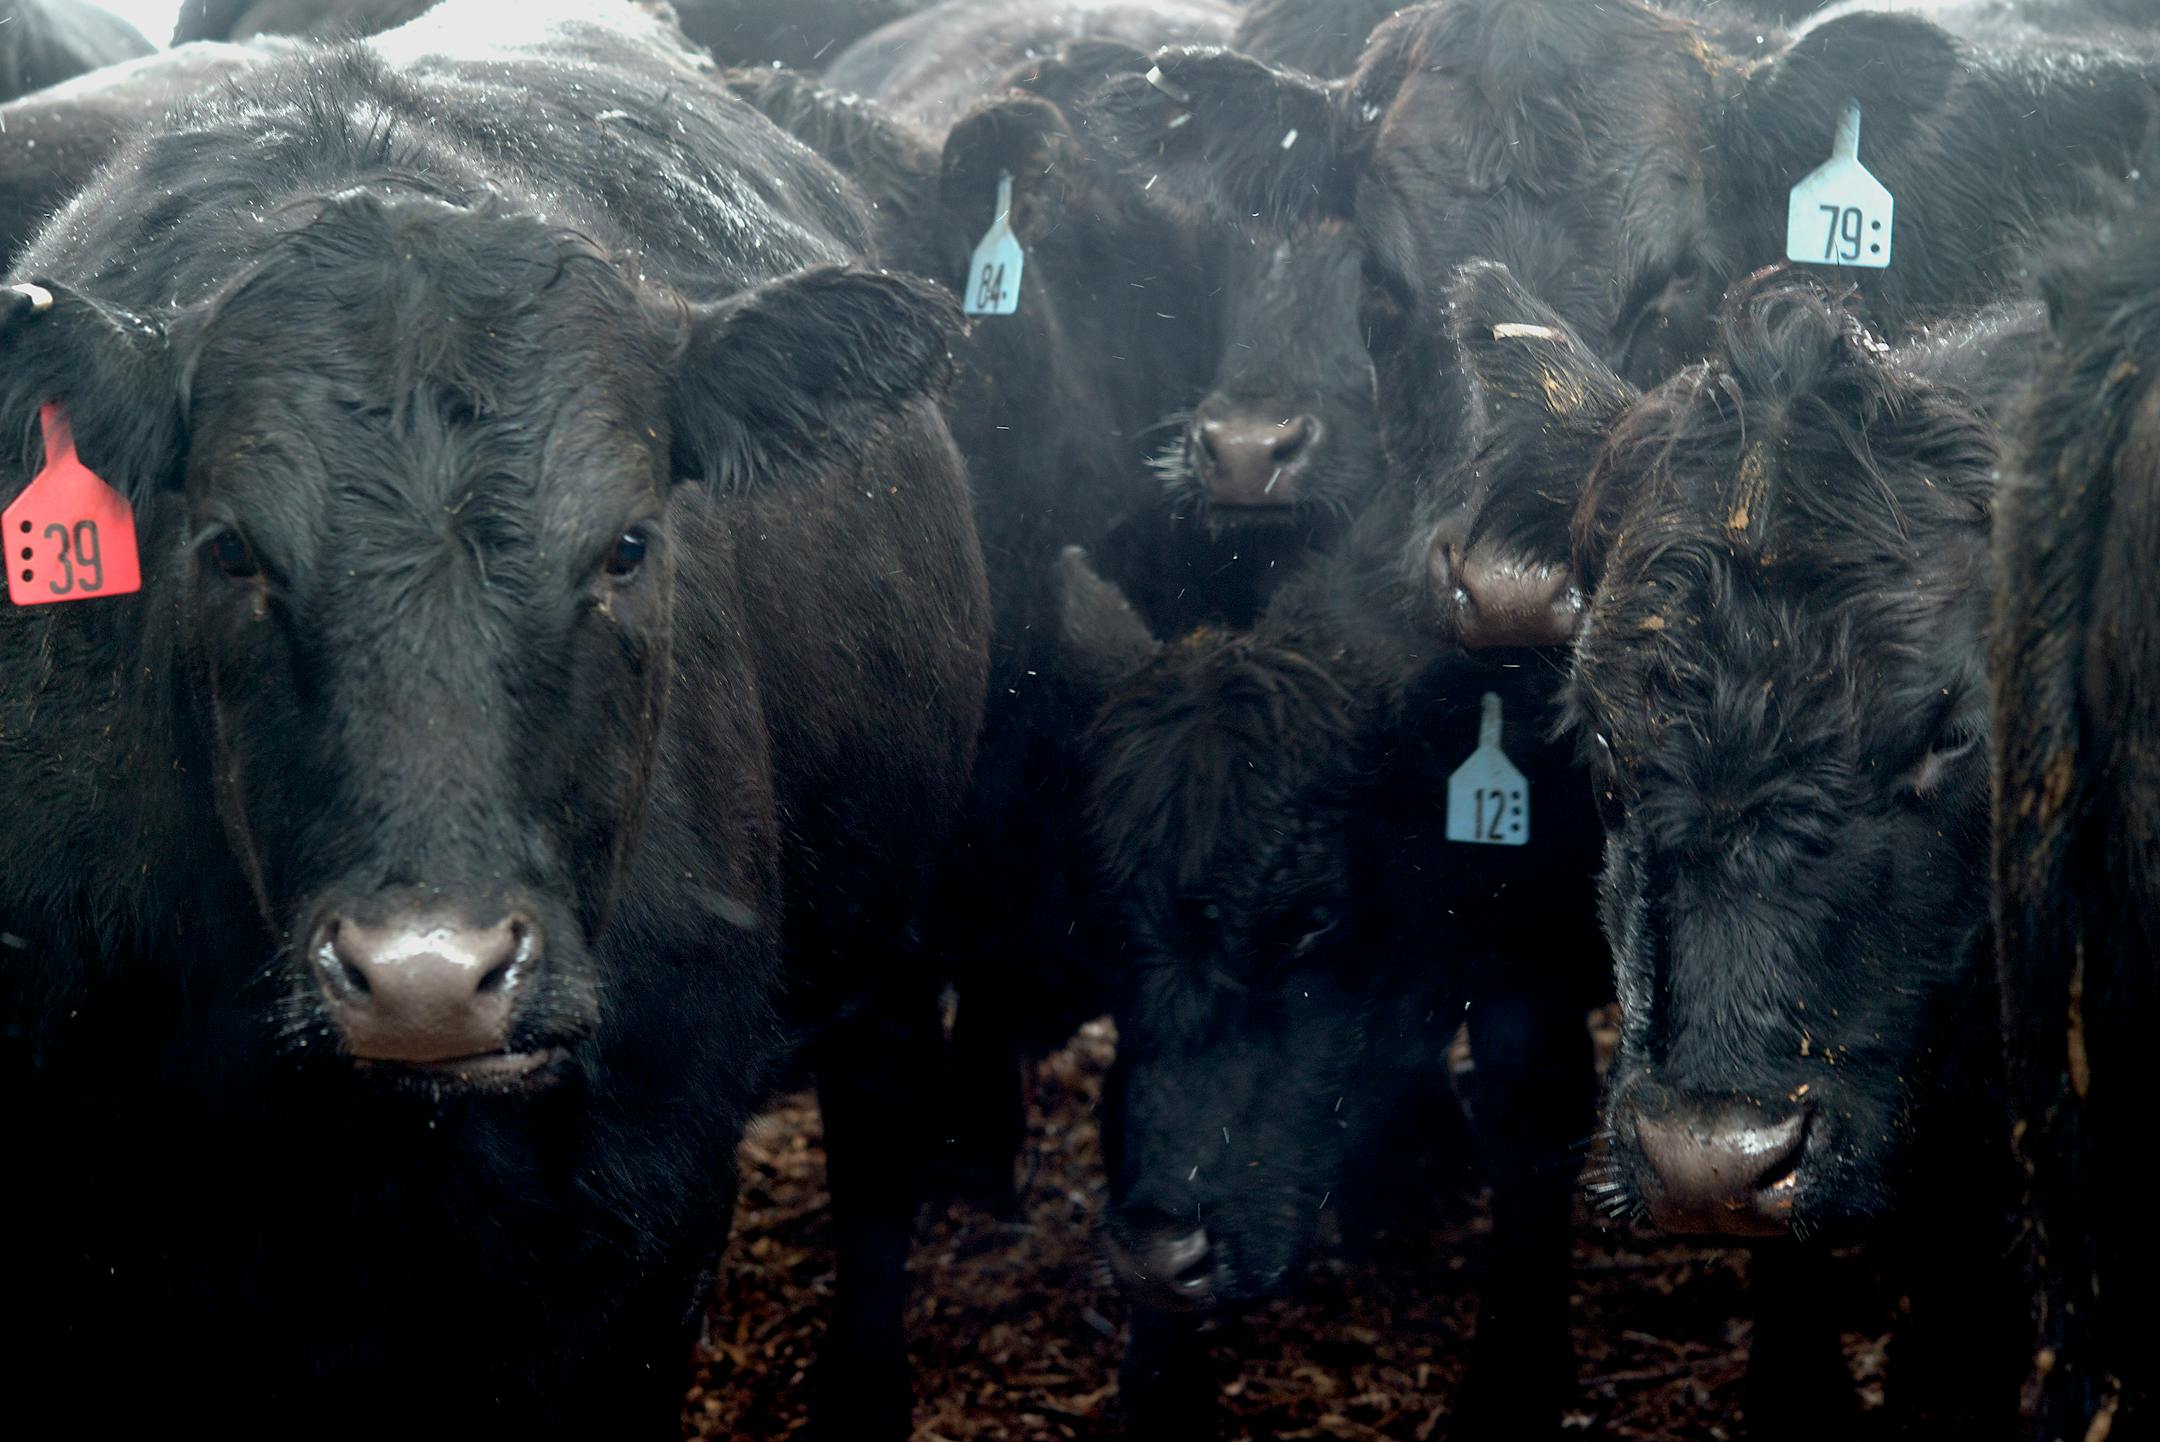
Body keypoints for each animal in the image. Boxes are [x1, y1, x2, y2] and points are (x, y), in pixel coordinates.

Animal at [1059, 527, 1608, 1439]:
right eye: (1105, 916)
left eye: (1314, 917)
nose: (1156, 1258)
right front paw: (1161, 1384)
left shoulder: (1536, 948)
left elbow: (1533, 1117)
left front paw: (1510, 1385)